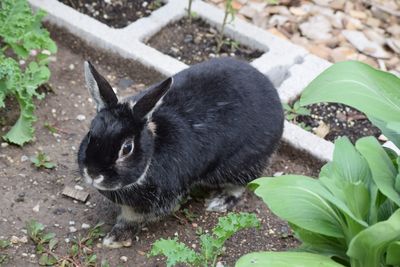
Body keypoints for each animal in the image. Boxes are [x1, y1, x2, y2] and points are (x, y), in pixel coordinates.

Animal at [78, 58, 282, 249]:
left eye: (127, 148)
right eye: (90, 134)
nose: (93, 173)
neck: (153, 150)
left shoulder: (156, 201)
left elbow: (132, 219)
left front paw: (115, 238)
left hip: (241, 164)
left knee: (241, 184)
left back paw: (220, 202)